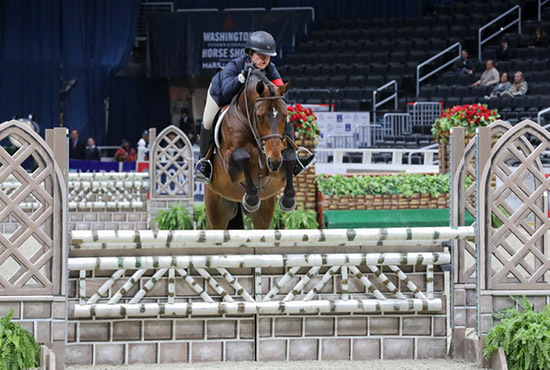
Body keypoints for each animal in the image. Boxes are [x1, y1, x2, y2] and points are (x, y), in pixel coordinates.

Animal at [205, 69, 298, 230]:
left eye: (285, 115)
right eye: (259, 117)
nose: (274, 161)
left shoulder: (275, 167)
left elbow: (290, 156)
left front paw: (288, 199)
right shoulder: (230, 167)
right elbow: (242, 156)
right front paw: (251, 198)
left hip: (264, 212)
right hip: (216, 210)